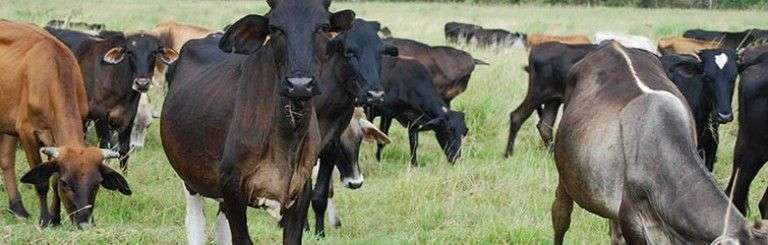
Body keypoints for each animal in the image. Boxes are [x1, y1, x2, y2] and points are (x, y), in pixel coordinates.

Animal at [0, 21, 129, 230]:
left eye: (96, 185)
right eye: (66, 184)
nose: (84, 223)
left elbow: (51, 178)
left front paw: (56, 218)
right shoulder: (26, 132)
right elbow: (42, 182)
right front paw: (44, 220)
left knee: (6, 160)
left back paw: (18, 208)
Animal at [45, 27, 178, 168]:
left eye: (154, 52)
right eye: (129, 52)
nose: (142, 83)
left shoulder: (128, 117)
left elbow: (124, 151)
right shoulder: (99, 115)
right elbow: (106, 148)